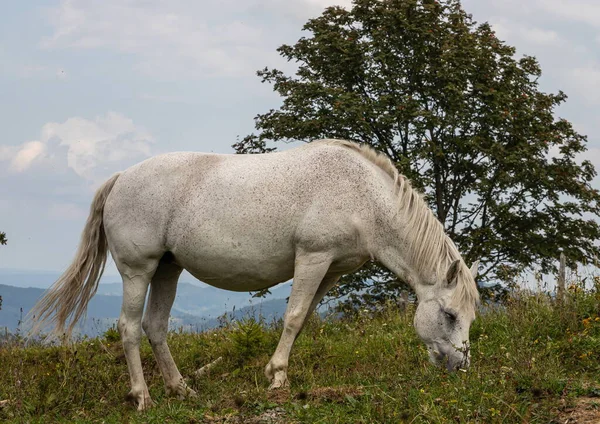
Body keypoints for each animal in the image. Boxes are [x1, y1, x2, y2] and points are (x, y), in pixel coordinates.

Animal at [30, 140, 480, 410]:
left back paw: (181, 389)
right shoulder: (313, 258)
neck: (363, 197)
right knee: (128, 328)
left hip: (168, 269)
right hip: (139, 271)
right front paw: (277, 379)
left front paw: (276, 372)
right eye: (450, 316)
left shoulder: (330, 270)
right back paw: (143, 398)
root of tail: (122, 177)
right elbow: (294, 317)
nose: (460, 367)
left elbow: (303, 319)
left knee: (155, 327)